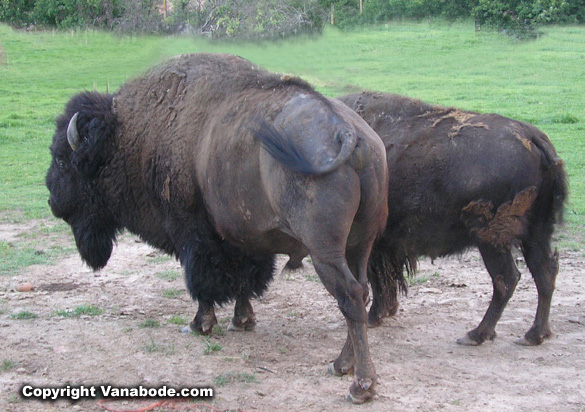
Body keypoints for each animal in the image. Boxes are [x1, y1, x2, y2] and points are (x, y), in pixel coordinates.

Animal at [45, 54, 388, 402]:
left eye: (62, 160)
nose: (53, 202)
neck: (130, 136)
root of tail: (349, 134)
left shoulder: (190, 234)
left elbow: (203, 281)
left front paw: (199, 325)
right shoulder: (245, 238)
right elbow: (244, 280)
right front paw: (242, 320)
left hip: (324, 251)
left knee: (349, 297)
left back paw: (360, 384)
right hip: (360, 244)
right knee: (362, 291)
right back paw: (341, 365)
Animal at [338, 91, 564, 346]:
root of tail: (532, 137)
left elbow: (376, 278)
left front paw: (373, 315)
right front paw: (383, 312)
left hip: (492, 240)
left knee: (507, 279)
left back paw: (477, 334)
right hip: (535, 234)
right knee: (544, 272)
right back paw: (534, 334)